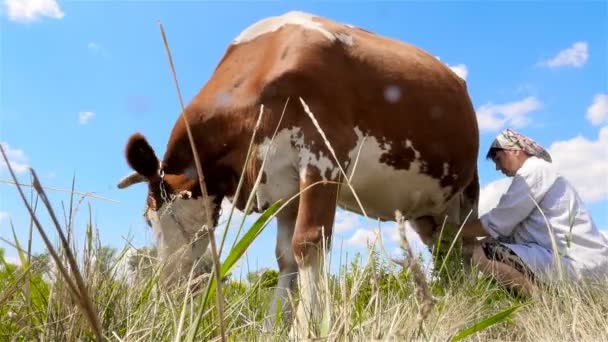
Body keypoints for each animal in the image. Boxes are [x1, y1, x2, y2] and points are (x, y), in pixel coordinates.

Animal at [116, 10, 480, 336]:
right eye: (148, 221)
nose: (169, 287)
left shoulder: (323, 158)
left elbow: (307, 242)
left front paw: (306, 327)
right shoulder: (281, 187)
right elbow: (285, 258)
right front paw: (271, 328)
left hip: (466, 193)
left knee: (466, 246)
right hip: (427, 212)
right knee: (444, 252)